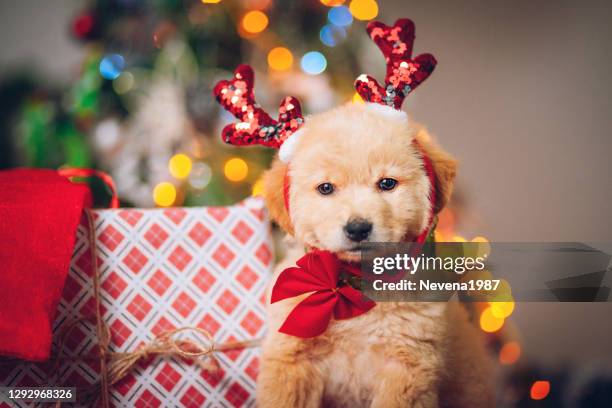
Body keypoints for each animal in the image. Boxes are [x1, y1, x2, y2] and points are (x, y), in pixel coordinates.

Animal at [256, 103, 494, 408]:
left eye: (387, 183)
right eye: (326, 188)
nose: (358, 228)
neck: (353, 287)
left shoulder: (406, 368)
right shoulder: (292, 362)